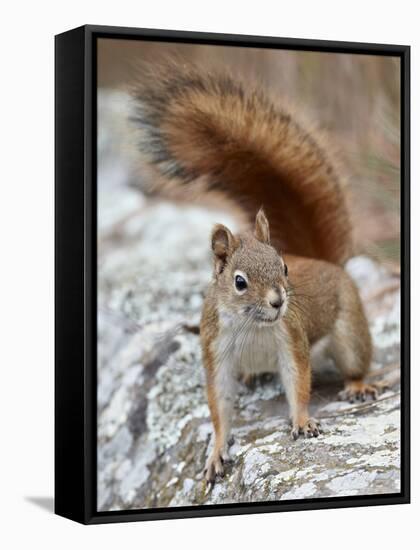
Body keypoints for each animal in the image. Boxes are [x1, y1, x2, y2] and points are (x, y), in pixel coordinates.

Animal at [131, 62, 378, 486]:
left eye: (284, 267)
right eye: (240, 282)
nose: (279, 302)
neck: (252, 326)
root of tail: (324, 262)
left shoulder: (291, 338)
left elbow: (298, 381)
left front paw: (302, 421)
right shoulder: (216, 351)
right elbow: (219, 404)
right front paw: (216, 451)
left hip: (349, 329)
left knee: (354, 359)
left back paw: (358, 384)